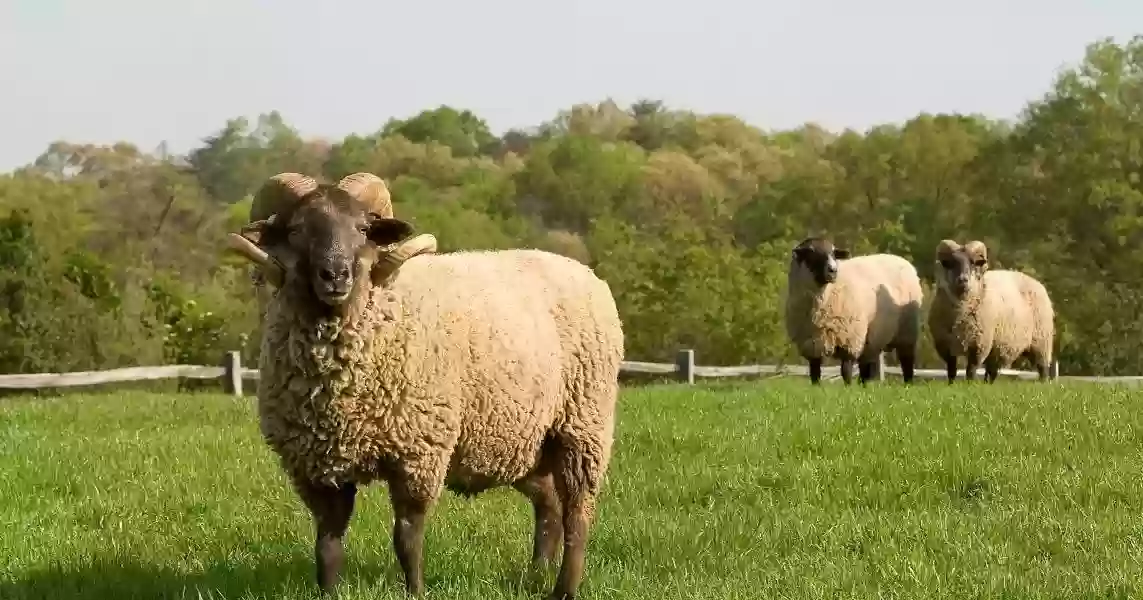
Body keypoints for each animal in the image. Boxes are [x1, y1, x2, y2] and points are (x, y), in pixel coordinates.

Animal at [225, 171, 626, 598]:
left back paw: (564, 588)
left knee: (578, 515)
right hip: (520, 440)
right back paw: (536, 575)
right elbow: (327, 546)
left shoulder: (418, 450)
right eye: (297, 229)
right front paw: (329, 592)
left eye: (363, 229)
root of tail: (585, 271)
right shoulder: (317, 467)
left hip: (582, 425)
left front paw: (416, 591)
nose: (335, 275)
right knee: (548, 504)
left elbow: (407, 538)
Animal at [781, 235, 923, 384]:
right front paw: (816, 387)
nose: (833, 270)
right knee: (867, 366)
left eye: (833, 253)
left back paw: (908, 383)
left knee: (907, 361)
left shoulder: (849, 338)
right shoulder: (811, 344)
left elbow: (846, 370)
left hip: (907, 332)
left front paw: (848, 387)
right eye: (811, 253)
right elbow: (815, 373)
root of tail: (901, 259)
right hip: (873, 337)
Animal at [928, 237, 1051, 381]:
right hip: (999, 348)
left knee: (1043, 369)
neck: (961, 313)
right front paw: (951, 384)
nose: (963, 280)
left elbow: (971, 371)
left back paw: (1044, 382)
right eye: (952, 263)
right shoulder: (945, 346)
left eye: (973, 263)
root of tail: (1036, 282)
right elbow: (951, 372)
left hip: (1041, 343)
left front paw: (969, 384)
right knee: (992, 372)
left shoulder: (979, 346)